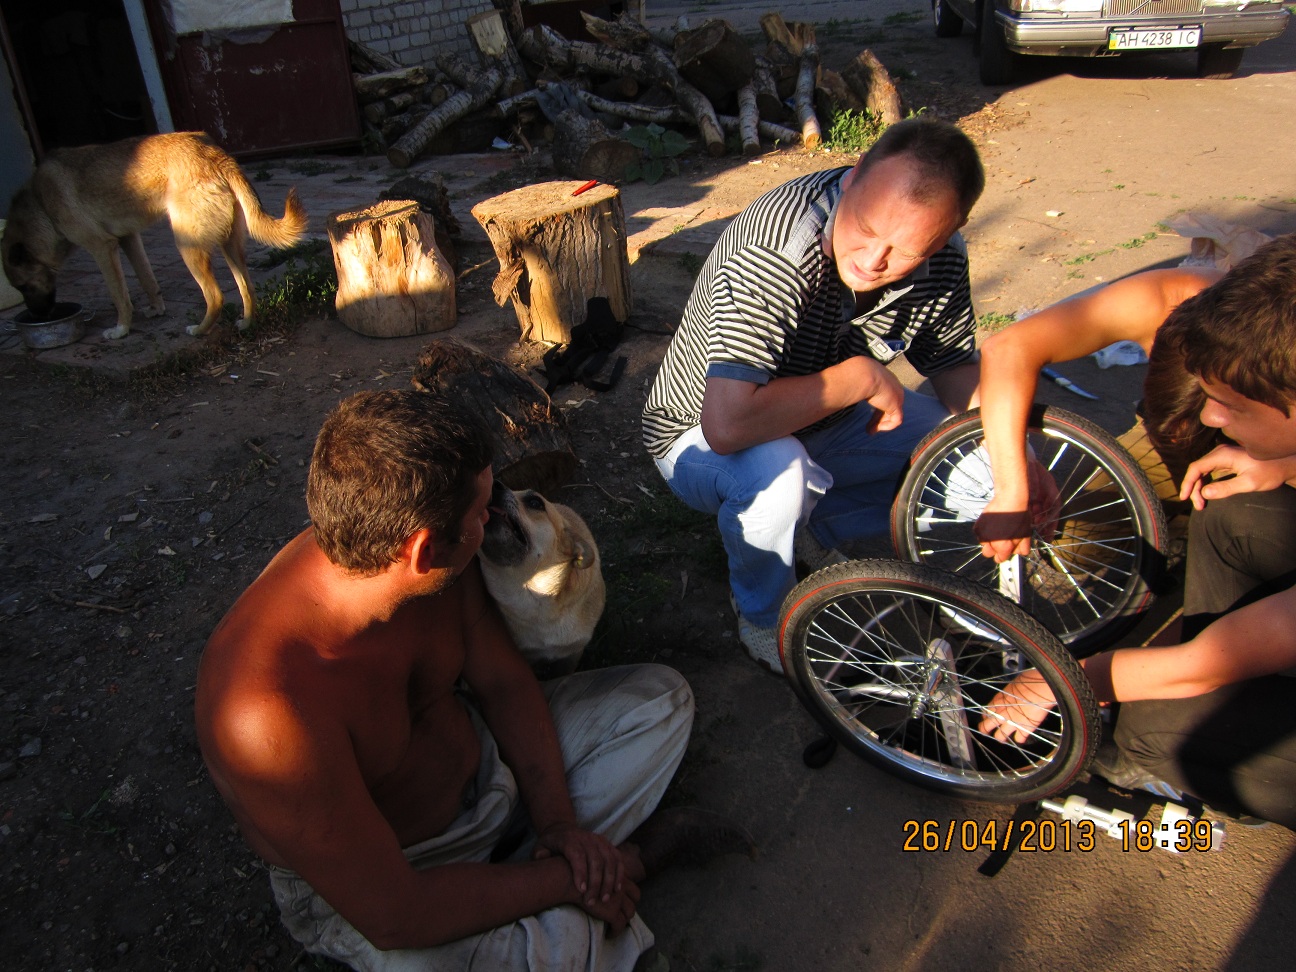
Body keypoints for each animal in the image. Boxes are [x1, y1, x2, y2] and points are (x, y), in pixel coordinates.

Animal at [1, 132, 307, 340]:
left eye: (24, 286)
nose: (40, 316)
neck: (40, 203)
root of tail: (214, 153)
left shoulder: (102, 248)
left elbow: (119, 294)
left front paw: (121, 329)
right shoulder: (129, 238)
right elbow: (146, 278)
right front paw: (156, 309)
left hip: (187, 245)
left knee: (215, 296)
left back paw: (199, 330)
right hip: (229, 245)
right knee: (247, 287)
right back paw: (245, 323)